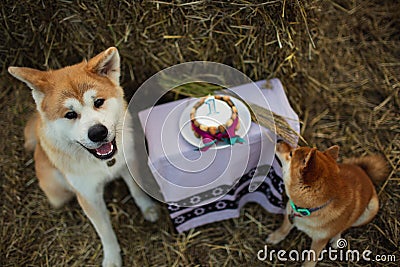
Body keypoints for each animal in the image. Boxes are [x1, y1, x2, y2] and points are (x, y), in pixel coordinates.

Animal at [7, 47, 158, 267]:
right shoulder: (88, 196)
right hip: (56, 193)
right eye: (70, 114)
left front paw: (148, 208)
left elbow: (136, 190)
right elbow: (105, 232)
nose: (98, 132)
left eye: (98, 102)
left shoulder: (127, 163)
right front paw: (112, 258)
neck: (104, 164)